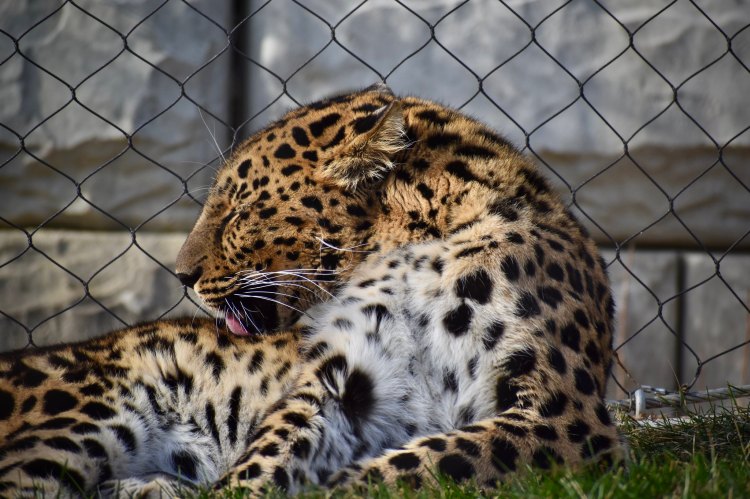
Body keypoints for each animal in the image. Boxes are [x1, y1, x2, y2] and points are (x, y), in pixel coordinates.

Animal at [0, 84, 623, 497]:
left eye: (238, 210)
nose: (181, 274)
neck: (423, 250)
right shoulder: (342, 380)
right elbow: (276, 447)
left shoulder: (563, 414)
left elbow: (427, 461)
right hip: (79, 420)